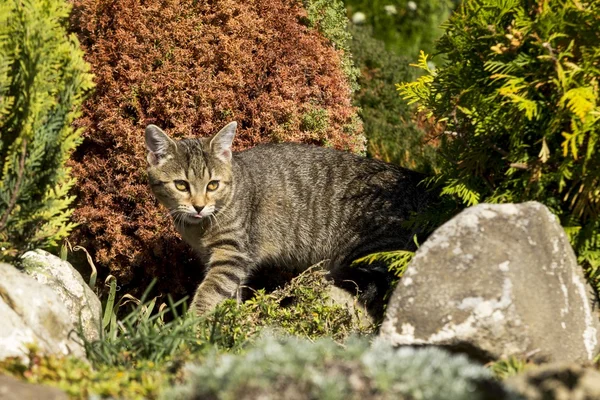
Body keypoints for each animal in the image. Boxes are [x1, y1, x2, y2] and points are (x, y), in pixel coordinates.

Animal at [145, 122, 432, 316]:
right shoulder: (224, 260)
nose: (199, 206)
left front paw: (192, 323)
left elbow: (211, 290)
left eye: (213, 185)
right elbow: (229, 293)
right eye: (181, 185)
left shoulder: (233, 253)